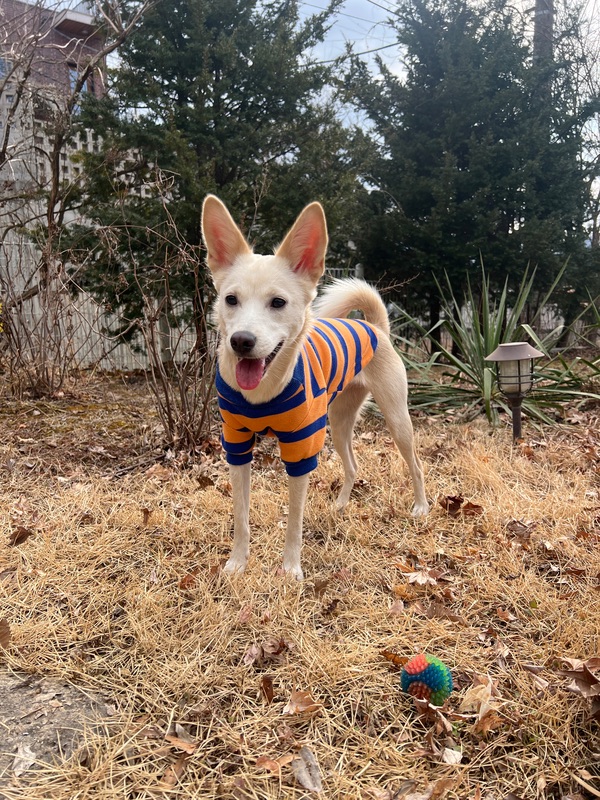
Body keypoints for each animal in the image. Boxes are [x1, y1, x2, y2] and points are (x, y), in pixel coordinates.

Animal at [201, 195, 429, 579]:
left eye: (278, 302)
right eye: (231, 299)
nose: (241, 341)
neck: (263, 391)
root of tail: (375, 327)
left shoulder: (300, 450)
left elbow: (294, 521)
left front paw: (291, 570)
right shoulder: (236, 446)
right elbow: (241, 516)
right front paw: (237, 563)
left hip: (397, 421)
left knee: (414, 463)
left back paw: (420, 506)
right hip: (337, 422)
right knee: (353, 465)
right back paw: (340, 506)